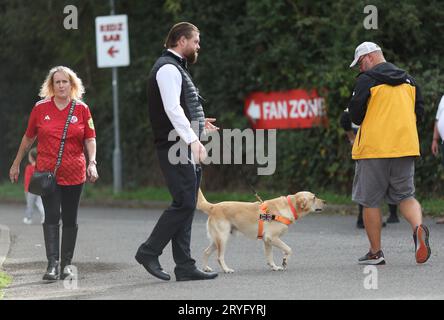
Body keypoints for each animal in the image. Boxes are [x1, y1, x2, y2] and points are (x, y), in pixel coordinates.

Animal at [198, 189, 326, 274]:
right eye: (314, 198)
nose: (325, 202)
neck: (290, 206)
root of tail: (213, 206)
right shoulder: (272, 238)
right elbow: (289, 249)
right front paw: (284, 261)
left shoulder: (267, 240)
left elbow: (269, 256)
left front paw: (274, 267)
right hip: (223, 239)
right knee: (219, 257)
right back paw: (226, 269)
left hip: (217, 240)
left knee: (205, 252)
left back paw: (205, 269)